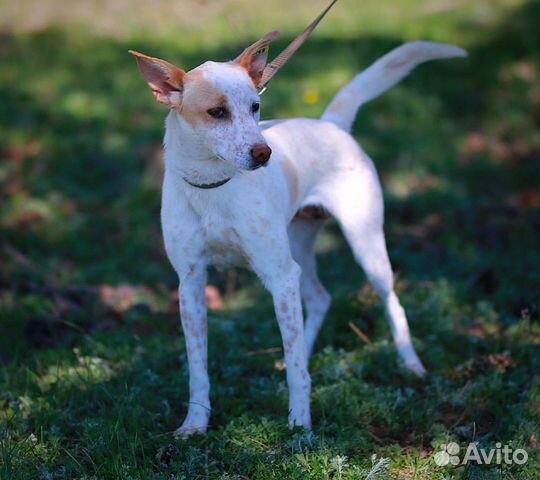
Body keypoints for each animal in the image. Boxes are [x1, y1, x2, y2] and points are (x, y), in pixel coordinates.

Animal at [130, 14, 464, 436]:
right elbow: (198, 367)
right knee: (319, 300)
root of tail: (332, 125)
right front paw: (194, 423)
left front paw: (300, 424)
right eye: (217, 112)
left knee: (392, 303)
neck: (213, 187)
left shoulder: (279, 275)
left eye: (256, 106)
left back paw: (411, 364)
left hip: (363, 245)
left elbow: (295, 370)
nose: (264, 153)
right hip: (298, 251)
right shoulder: (190, 283)